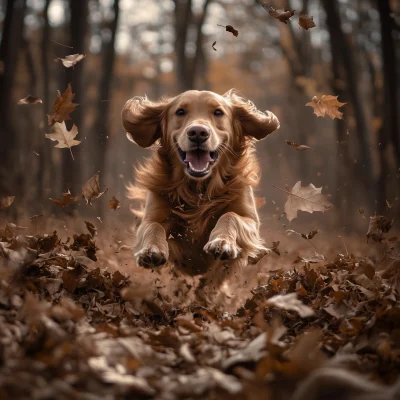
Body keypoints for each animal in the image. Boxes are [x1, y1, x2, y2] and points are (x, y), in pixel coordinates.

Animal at [120, 89, 280, 298]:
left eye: (218, 112)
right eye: (180, 112)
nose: (198, 132)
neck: (198, 189)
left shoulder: (250, 220)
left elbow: (231, 216)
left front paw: (221, 242)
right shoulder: (153, 215)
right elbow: (153, 226)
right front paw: (150, 250)